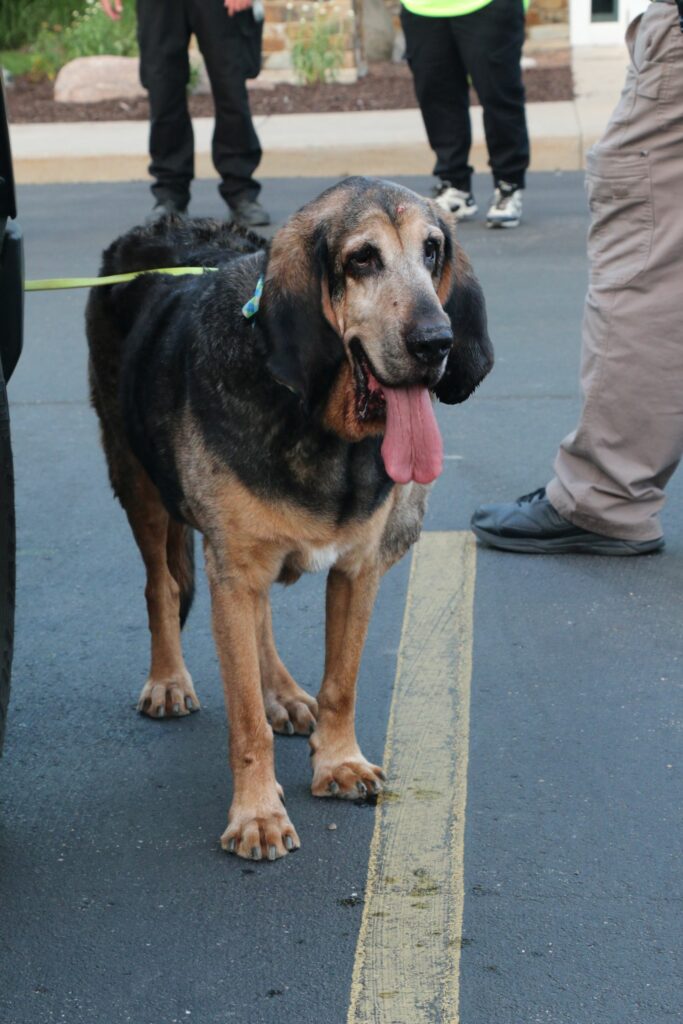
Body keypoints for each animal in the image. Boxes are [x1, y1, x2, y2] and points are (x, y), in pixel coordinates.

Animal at [87, 174, 491, 856]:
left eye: (433, 250)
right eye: (362, 259)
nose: (437, 342)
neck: (324, 429)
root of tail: (153, 227)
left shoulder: (358, 570)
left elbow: (341, 682)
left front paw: (338, 762)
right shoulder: (232, 570)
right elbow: (245, 719)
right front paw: (257, 814)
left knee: (260, 620)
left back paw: (282, 692)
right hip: (137, 480)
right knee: (160, 585)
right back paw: (169, 679)